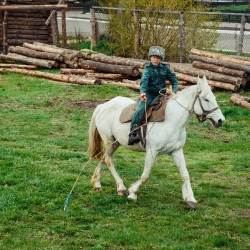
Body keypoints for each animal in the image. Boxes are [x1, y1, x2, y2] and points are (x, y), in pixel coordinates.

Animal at [88, 75, 225, 208]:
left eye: (213, 97)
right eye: (206, 99)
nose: (220, 120)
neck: (171, 120)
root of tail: (103, 106)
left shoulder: (176, 151)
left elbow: (185, 174)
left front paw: (190, 199)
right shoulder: (152, 151)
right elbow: (145, 176)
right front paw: (133, 193)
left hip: (114, 143)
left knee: (103, 158)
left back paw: (97, 184)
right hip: (109, 140)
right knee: (108, 160)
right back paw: (121, 188)